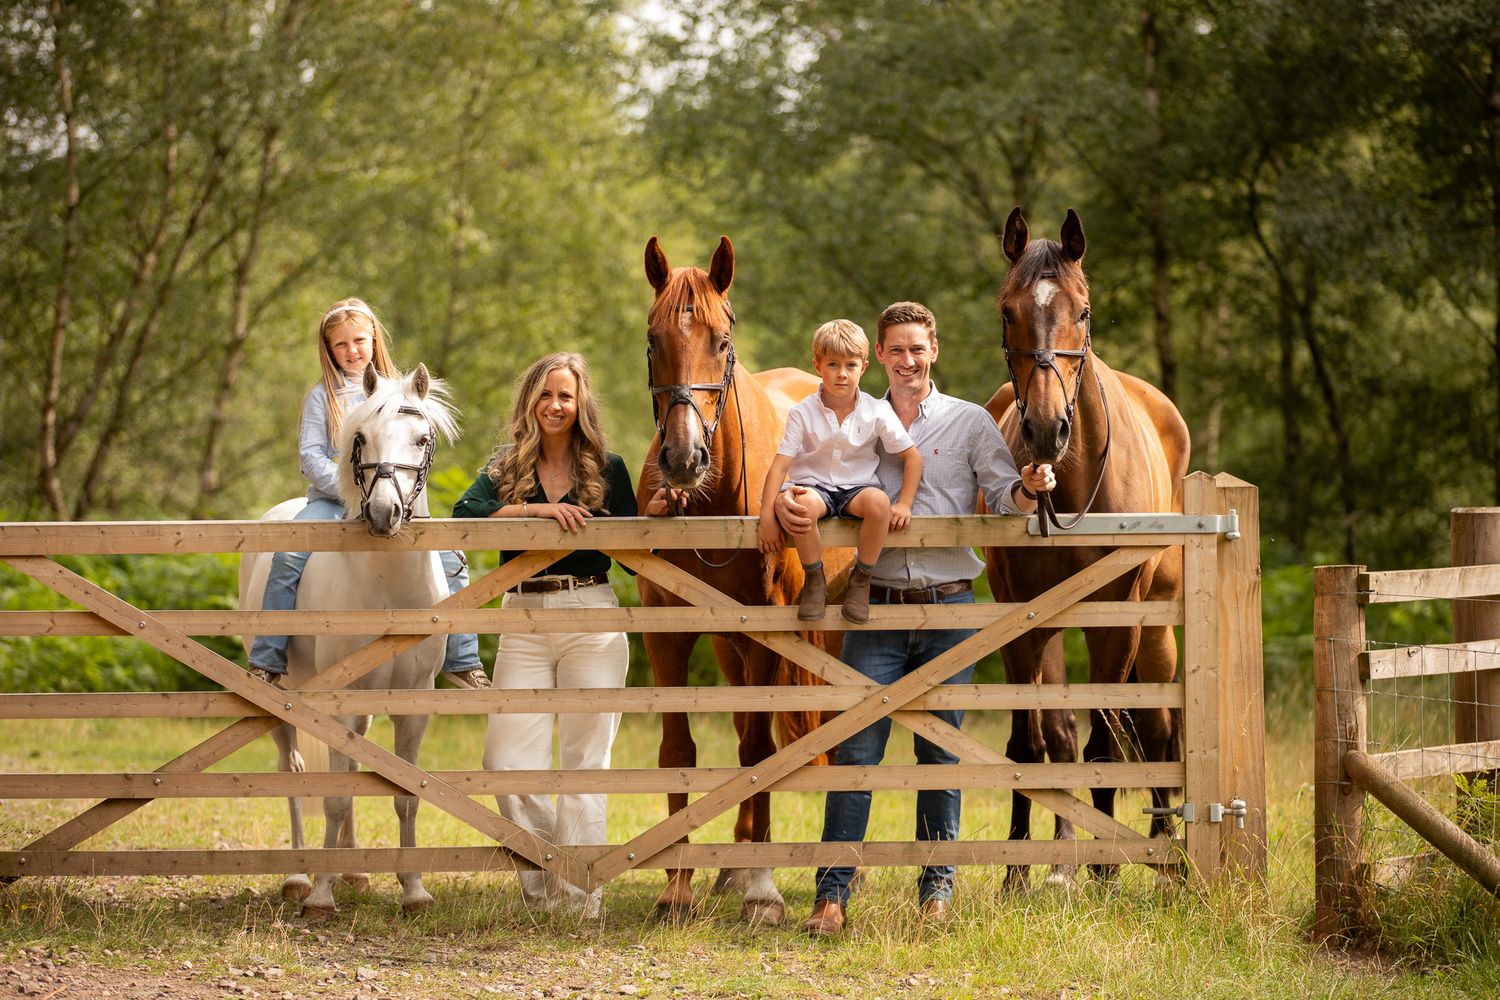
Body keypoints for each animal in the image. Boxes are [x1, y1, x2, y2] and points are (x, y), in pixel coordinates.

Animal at [239, 363, 459, 915]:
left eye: (421, 438)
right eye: (360, 438)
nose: (383, 513)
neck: (386, 589)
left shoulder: (412, 702)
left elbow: (404, 794)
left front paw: (414, 890)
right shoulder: (338, 700)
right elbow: (335, 794)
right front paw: (320, 894)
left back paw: (355, 871)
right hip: (286, 699)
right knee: (293, 770)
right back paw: (299, 877)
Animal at [635, 235, 849, 924]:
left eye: (722, 340)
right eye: (653, 339)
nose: (683, 458)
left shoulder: (768, 635)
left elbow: (758, 753)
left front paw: (764, 891)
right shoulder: (666, 628)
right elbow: (679, 752)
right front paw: (677, 887)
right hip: (732, 647)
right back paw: (729, 869)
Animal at [982, 208, 1190, 888]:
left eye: (1085, 310)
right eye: (1007, 311)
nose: (1048, 430)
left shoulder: (1115, 624)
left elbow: (1109, 743)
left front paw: (1105, 868)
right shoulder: (1021, 625)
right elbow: (1033, 743)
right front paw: (1020, 871)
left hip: (1156, 631)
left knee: (1156, 729)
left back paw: (1165, 849)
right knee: (1064, 731)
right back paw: (1061, 859)